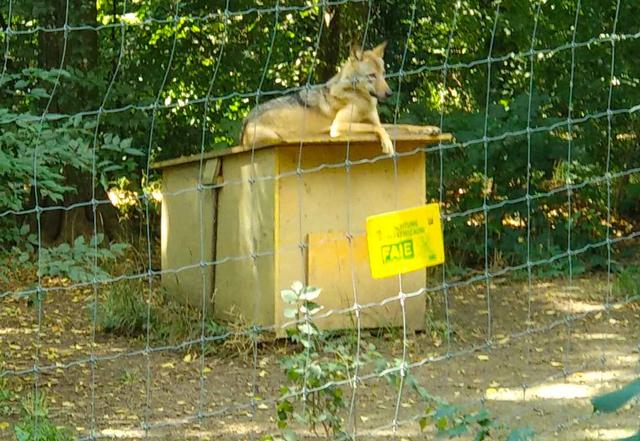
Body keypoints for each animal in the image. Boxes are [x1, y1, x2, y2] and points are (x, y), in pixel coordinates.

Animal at [240, 42, 440, 155]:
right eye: (371, 76)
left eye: (383, 74)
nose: (389, 94)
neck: (362, 99)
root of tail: (246, 120)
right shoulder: (338, 126)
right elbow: (376, 128)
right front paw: (387, 143)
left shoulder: (376, 120)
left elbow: (402, 125)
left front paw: (429, 128)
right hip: (276, 138)